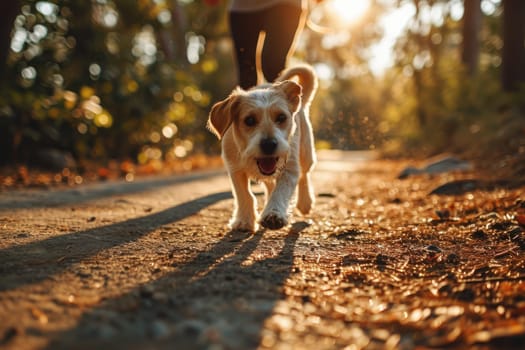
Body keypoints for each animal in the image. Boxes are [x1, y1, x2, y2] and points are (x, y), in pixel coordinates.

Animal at [207, 65, 318, 232]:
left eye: (281, 118)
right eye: (249, 120)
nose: (269, 144)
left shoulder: (289, 168)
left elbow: (280, 191)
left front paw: (273, 214)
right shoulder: (235, 170)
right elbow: (244, 195)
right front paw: (244, 221)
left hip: (306, 154)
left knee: (304, 175)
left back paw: (305, 202)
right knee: (270, 184)